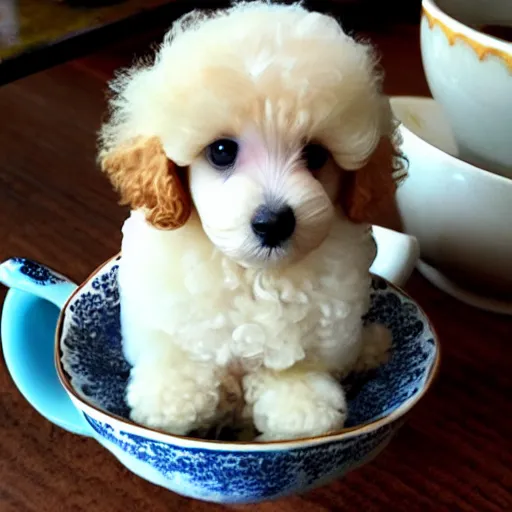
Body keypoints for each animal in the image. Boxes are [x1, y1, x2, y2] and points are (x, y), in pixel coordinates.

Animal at [98, 0, 406, 442]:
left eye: (316, 156)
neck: (255, 275)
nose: (273, 223)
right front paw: (172, 398)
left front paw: (303, 411)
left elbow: (294, 372)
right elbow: (179, 350)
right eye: (222, 151)